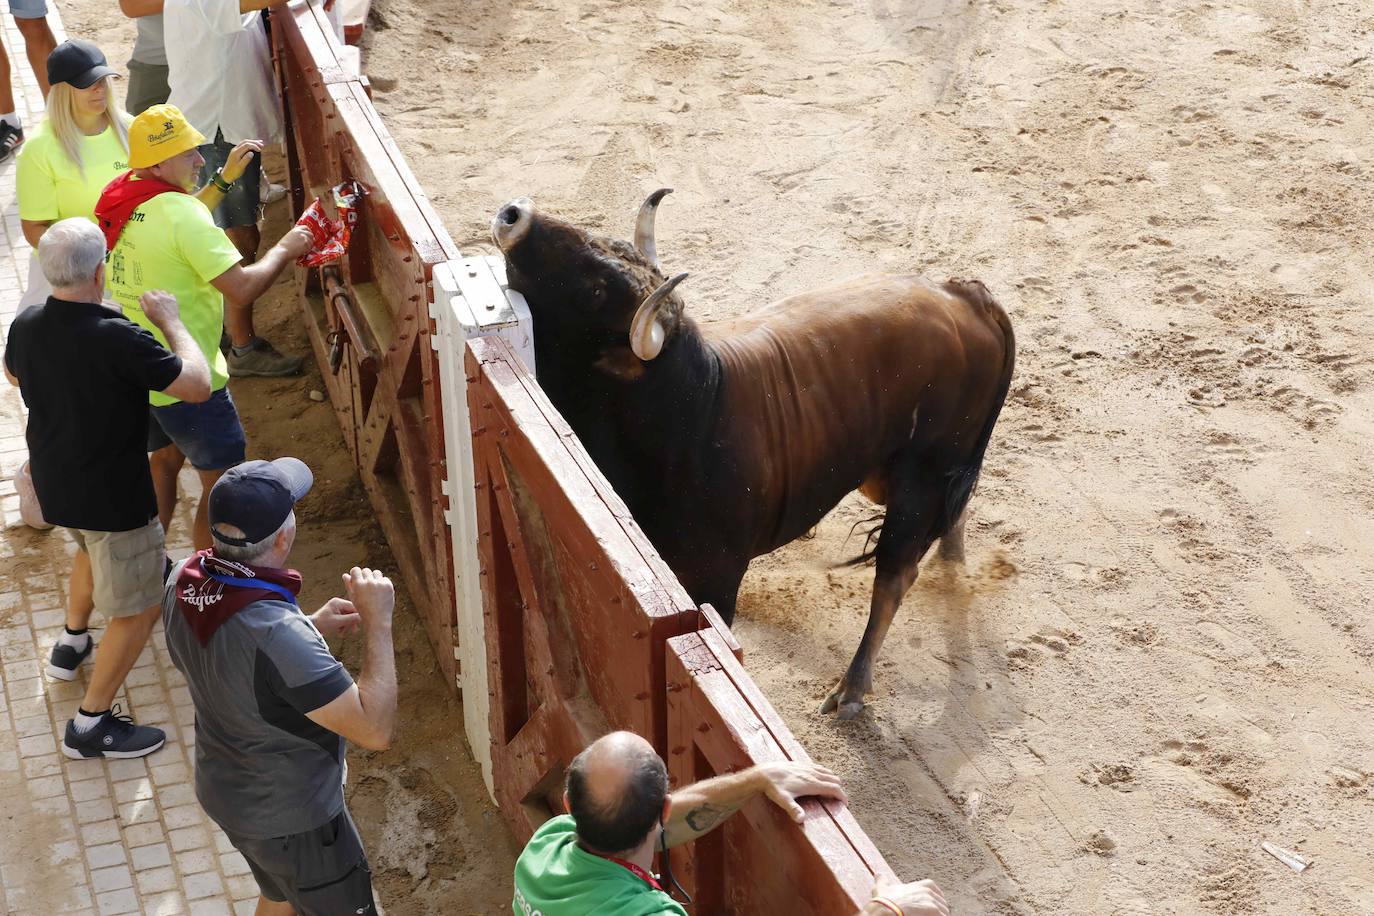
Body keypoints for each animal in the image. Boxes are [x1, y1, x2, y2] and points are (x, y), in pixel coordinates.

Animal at [489, 189, 1016, 719]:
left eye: (596, 290)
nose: (515, 214)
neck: (693, 406)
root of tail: (964, 295)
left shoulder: (716, 579)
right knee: (953, 512)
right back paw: (951, 561)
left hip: (921, 480)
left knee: (894, 575)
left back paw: (851, 689)